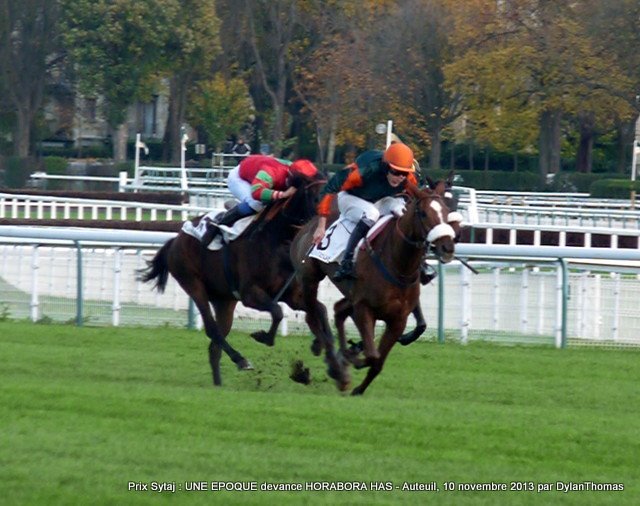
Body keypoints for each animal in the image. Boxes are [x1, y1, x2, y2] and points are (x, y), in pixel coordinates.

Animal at [138, 171, 329, 387]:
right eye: (316, 197)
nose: (323, 229)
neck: (276, 239)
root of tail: (175, 240)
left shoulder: (292, 295)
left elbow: (319, 309)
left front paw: (319, 344)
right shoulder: (250, 294)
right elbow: (278, 311)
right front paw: (264, 337)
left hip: (224, 300)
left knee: (215, 345)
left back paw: (219, 383)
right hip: (192, 283)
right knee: (212, 329)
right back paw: (241, 360)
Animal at [290, 180, 456, 395]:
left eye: (446, 211)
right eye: (424, 214)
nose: (447, 247)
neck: (397, 263)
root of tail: (309, 224)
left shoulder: (398, 319)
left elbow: (378, 361)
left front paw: (358, 387)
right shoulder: (364, 307)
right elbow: (372, 354)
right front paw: (350, 358)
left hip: (349, 293)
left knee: (338, 310)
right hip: (309, 278)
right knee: (313, 316)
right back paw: (335, 366)